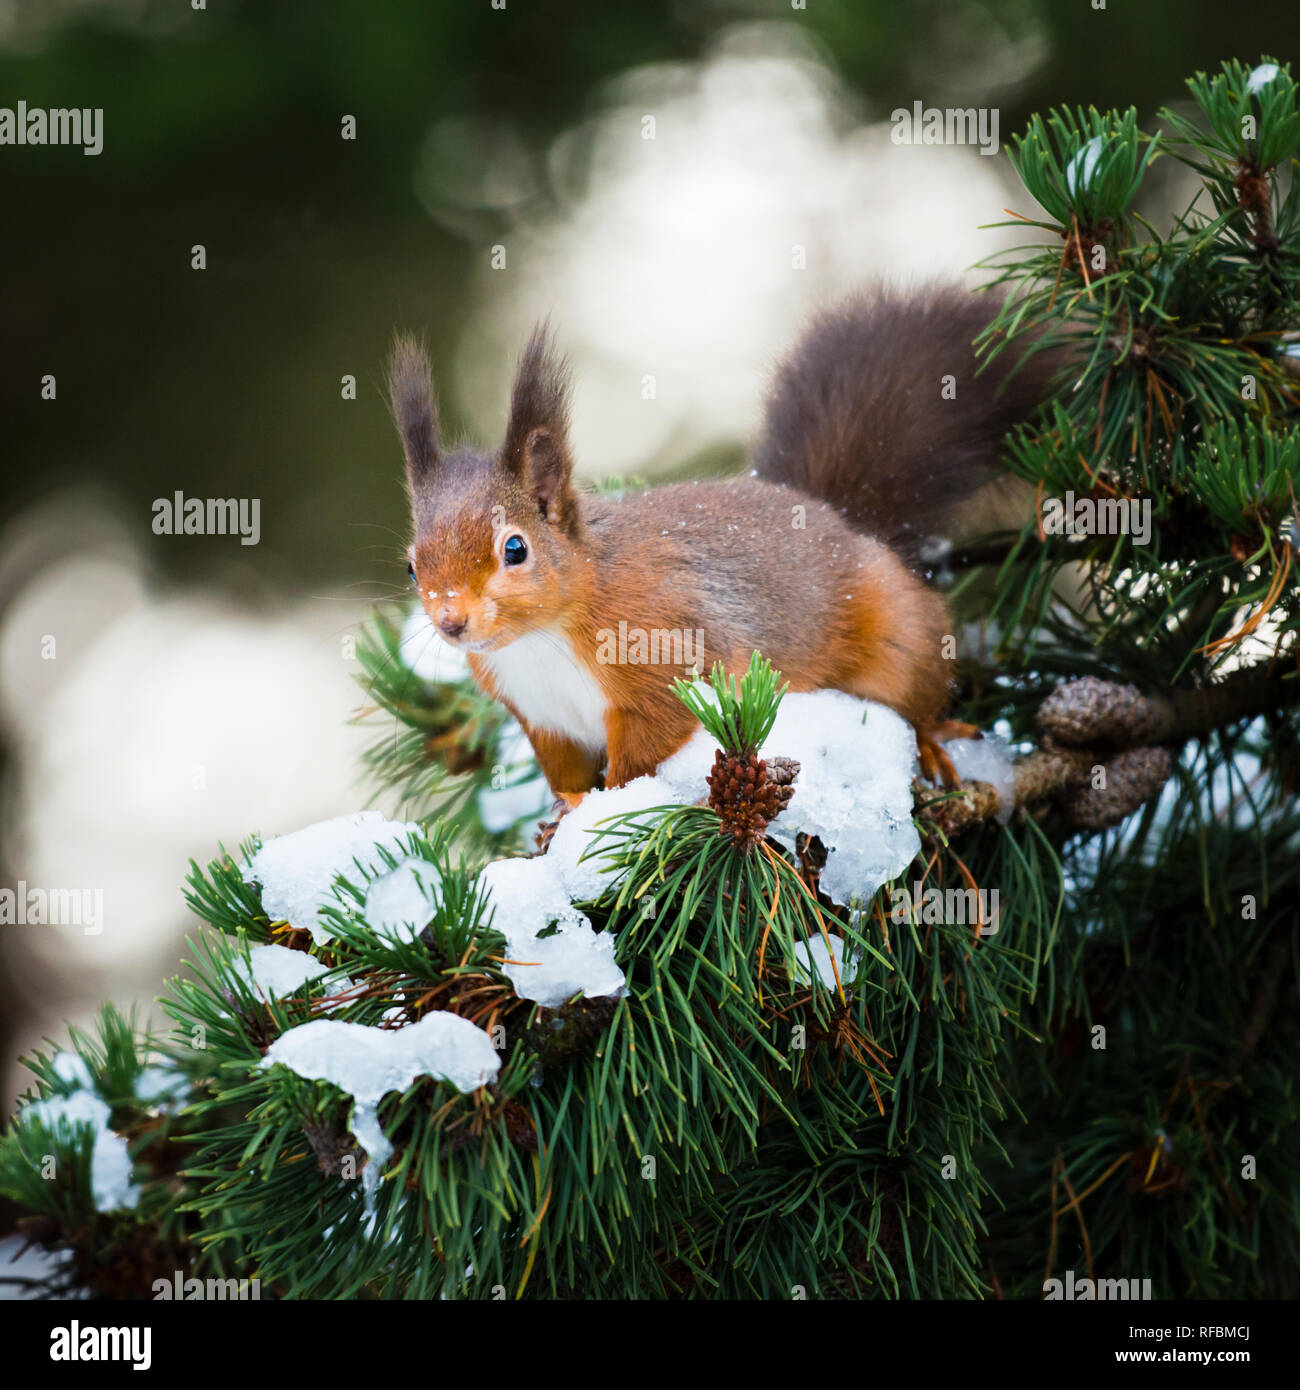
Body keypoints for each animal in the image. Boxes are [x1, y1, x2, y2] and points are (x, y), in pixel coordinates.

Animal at [386, 287, 1045, 800]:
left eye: (515, 549)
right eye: (414, 568)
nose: (451, 622)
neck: (541, 639)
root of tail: (840, 519)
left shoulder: (662, 656)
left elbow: (642, 753)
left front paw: (606, 813)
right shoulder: (543, 718)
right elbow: (566, 776)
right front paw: (563, 823)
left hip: (898, 637)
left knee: (919, 691)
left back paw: (931, 739)